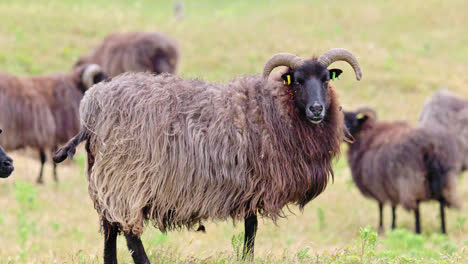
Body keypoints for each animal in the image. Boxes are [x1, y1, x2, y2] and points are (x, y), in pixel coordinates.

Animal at [54, 48, 362, 262]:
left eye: (326, 80)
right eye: (297, 81)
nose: (317, 109)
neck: (278, 109)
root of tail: (93, 107)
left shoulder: (249, 187)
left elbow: (250, 228)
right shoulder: (255, 183)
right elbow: (252, 229)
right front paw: (247, 258)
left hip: (105, 179)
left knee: (109, 229)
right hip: (126, 177)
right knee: (129, 232)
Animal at [344, 106, 460, 234]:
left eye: (353, 122)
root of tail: (431, 147)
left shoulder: (379, 186)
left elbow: (383, 207)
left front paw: (384, 228)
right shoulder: (390, 186)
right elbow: (392, 208)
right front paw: (392, 227)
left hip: (412, 182)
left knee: (417, 208)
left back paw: (418, 231)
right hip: (446, 182)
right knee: (441, 204)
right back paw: (443, 231)